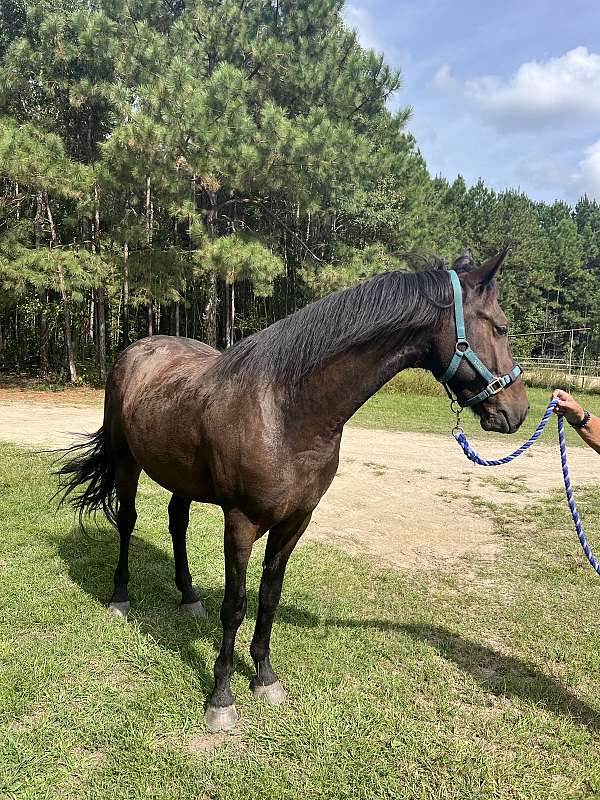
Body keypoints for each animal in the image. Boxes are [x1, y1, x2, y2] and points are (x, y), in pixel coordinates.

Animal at [55, 252, 524, 732]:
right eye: (501, 327)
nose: (517, 411)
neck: (284, 410)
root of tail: (136, 351)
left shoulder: (296, 521)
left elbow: (269, 598)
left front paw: (264, 678)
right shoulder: (240, 523)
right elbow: (236, 605)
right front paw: (220, 698)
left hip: (179, 476)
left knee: (177, 523)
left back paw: (188, 597)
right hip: (125, 461)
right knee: (128, 521)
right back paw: (120, 598)